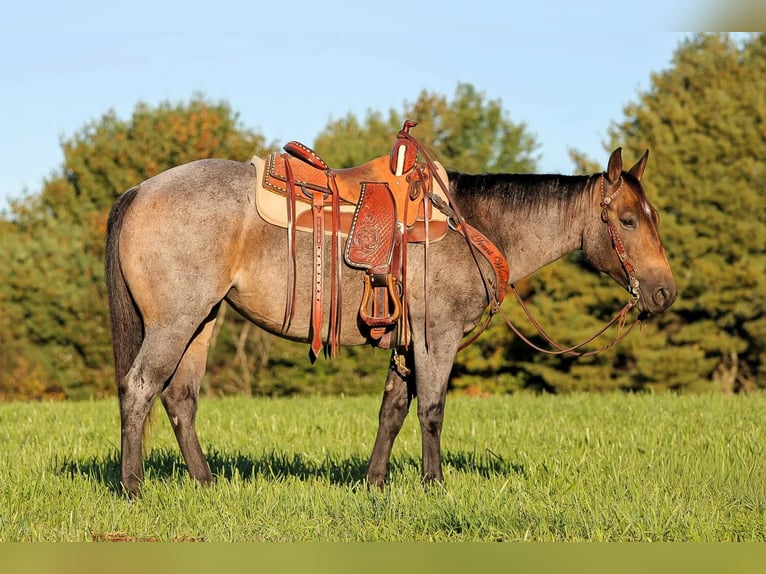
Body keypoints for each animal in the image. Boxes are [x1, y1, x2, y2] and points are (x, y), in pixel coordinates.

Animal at [105, 145, 676, 495]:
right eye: (627, 220)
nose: (665, 292)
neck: (473, 227)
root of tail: (139, 191)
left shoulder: (404, 342)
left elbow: (392, 410)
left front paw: (374, 483)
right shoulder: (435, 335)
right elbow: (431, 410)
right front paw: (435, 484)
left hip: (202, 321)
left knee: (180, 399)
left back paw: (205, 483)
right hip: (175, 323)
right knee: (139, 389)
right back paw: (133, 489)